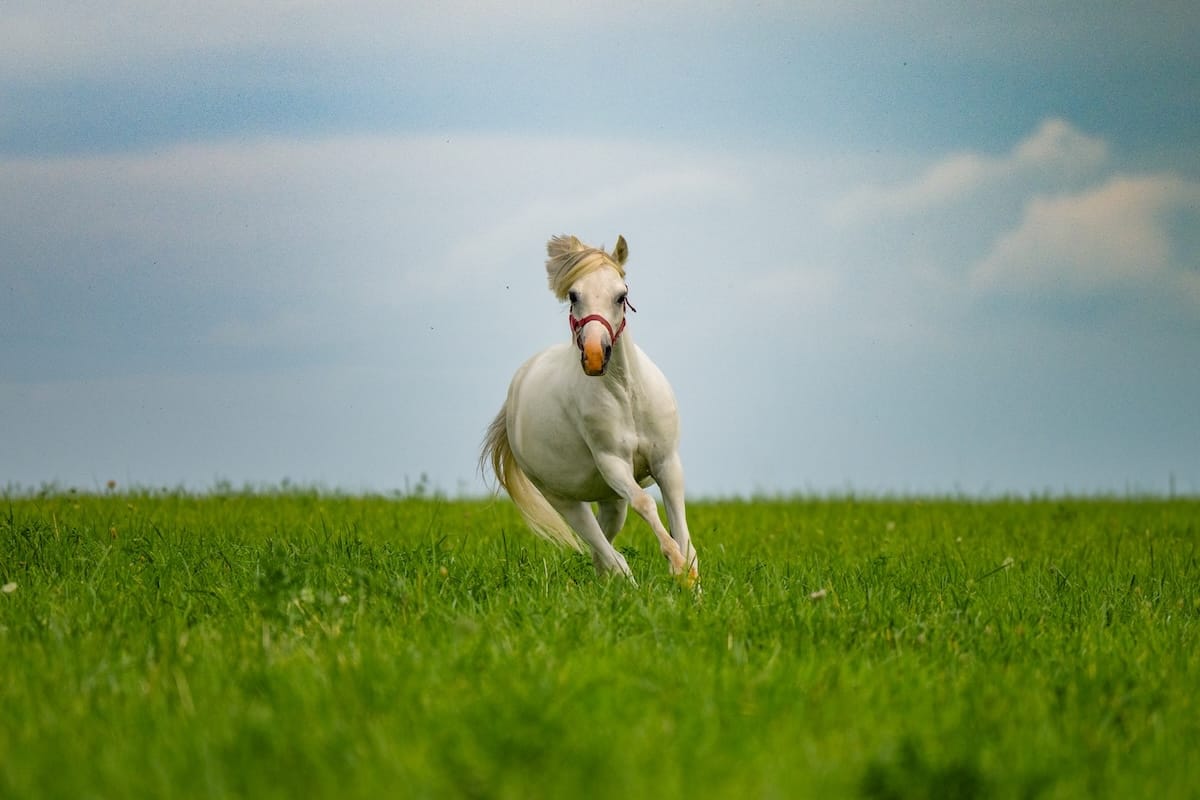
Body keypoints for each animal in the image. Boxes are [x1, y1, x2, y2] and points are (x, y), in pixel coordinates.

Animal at [481, 234, 699, 586]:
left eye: (621, 295)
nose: (596, 355)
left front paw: (692, 584)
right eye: (573, 295)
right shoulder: (612, 463)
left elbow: (682, 530)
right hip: (564, 500)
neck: (626, 395)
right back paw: (629, 588)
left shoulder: (666, 462)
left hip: (610, 500)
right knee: (607, 551)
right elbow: (646, 504)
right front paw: (676, 565)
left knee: (603, 550)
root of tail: (515, 394)